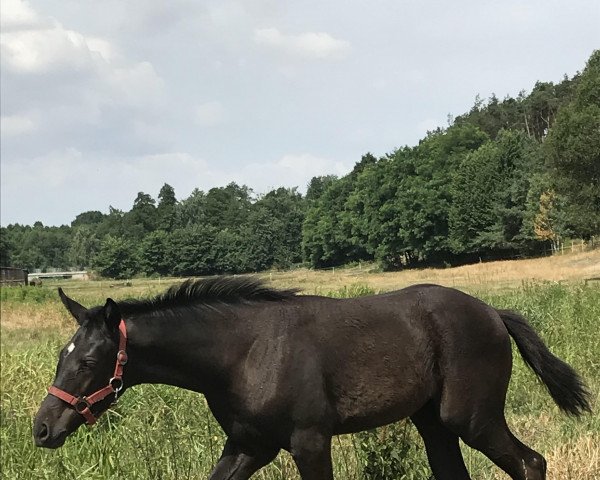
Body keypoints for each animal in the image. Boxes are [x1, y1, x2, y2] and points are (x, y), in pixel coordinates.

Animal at [34, 278, 592, 480]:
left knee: (532, 463)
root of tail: (494, 313)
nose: (42, 428)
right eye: (62, 357)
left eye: (88, 362)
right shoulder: (249, 446)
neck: (243, 354)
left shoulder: (309, 441)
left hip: (470, 418)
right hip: (433, 423)